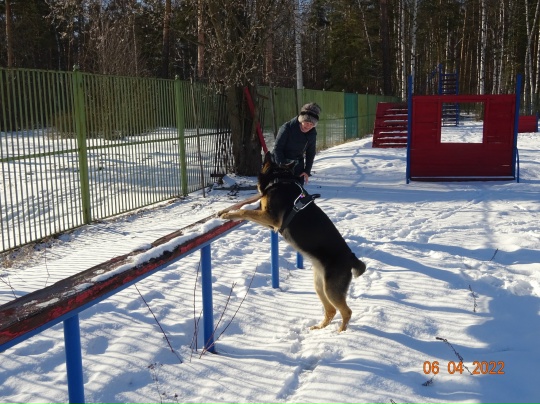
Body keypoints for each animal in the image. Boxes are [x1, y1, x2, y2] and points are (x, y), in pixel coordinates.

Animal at [219, 152, 366, 332]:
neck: (280, 178)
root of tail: (351, 257)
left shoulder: (271, 218)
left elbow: (244, 211)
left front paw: (227, 214)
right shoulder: (268, 219)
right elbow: (245, 209)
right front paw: (225, 212)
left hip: (332, 290)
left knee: (346, 311)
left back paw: (340, 333)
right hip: (320, 286)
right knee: (331, 310)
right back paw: (319, 327)